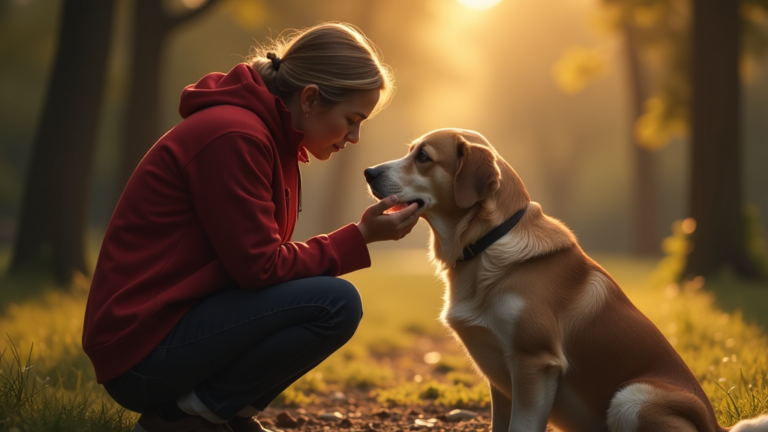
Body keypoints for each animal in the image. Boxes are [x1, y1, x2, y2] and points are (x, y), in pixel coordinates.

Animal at [364, 128, 768, 432]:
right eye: (411, 151)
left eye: (423, 157)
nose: (368, 171)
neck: (486, 244)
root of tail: (716, 427)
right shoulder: (500, 380)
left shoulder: (533, 363)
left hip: (632, 398)